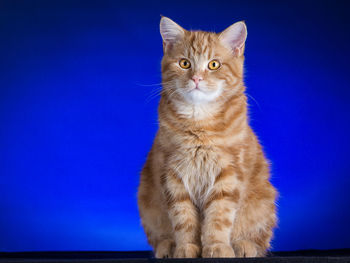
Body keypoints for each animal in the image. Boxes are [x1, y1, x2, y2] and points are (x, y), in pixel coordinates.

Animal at [137, 17, 276, 260]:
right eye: (184, 63)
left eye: (213, 65)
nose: (196, 78)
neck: (199, 123)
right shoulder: (173, 175)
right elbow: (183, 219)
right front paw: (185, 248)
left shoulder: (228, 175)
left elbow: (218, 217)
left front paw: (217, 247)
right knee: (159, 236)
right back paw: (167, 247)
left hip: (264, 202)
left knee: (259, 239)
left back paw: (243, 245)